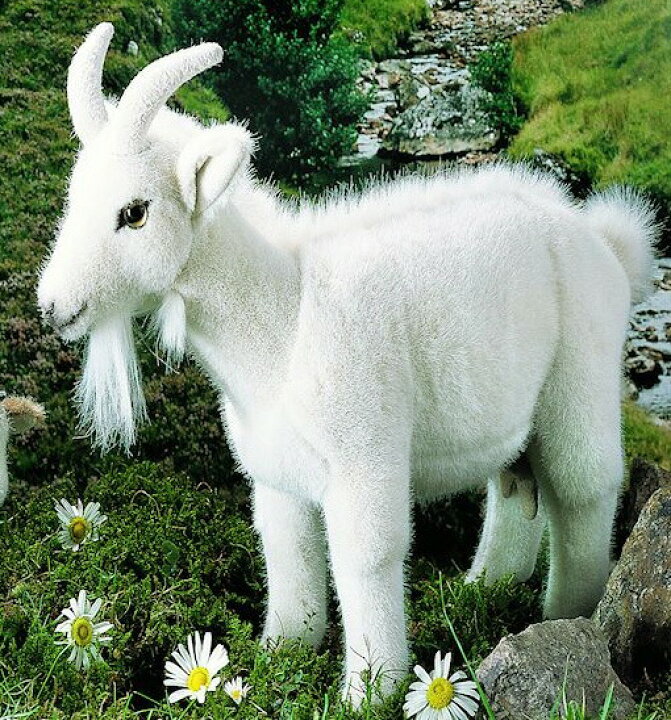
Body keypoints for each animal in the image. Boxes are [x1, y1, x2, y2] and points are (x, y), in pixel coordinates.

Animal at [37, 24, 657, 703]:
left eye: (134, 211)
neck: (283, 319)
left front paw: (371, 689)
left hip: (582, 376)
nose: (54, 307)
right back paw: (482, 591)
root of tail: (609, 243)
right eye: (73, 195)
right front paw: (279, 656)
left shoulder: (364, 456)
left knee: (583, 488)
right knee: (513, 487)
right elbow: (287, 552)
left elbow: (367, 555)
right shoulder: (276, 472)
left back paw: (567, 613)